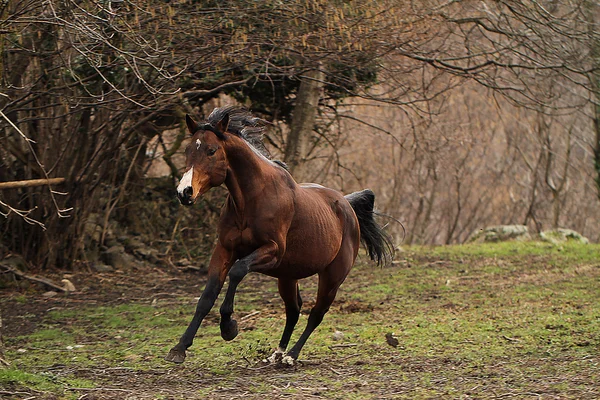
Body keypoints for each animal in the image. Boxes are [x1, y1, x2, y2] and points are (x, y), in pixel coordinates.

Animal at [164, 106, 396, 366]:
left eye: (211, 150)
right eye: (187, 150)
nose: (184, 192)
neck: (252, 200)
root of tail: (346, 204)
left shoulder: (272, 251)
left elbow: (237, 272)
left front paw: (229, 327)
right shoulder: (224, 250)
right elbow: (207, 296)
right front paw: (179, 348)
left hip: (332, 276)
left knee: (316, 314)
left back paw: (291, 356)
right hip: (287, 276)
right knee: (294, 310)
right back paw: (277, 353)